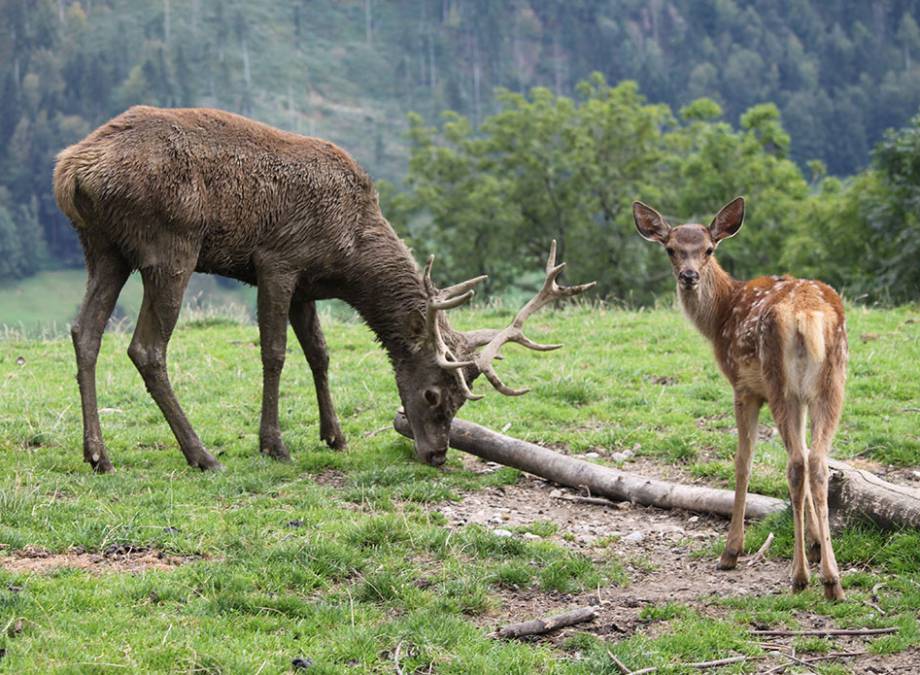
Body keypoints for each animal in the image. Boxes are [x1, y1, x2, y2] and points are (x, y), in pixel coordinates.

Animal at [54, 107, 592, 476]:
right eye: (434, 394)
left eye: (462, 403)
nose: (437, 454)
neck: (349, 256)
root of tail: (69, 172)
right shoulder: (277, 261)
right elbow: (274, 352)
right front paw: (274, 445)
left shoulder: (307, 285)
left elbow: (320, 352)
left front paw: (334, 435)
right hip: (170, 245)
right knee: (146, 347)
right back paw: (201, 454)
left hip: (104, 249)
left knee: (84, 332)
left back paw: (97, 453)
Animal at [636, 198, 844, 600]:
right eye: (671, 248)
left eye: (708, 249)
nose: (689, 275)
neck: (720, 317)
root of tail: (808, 316)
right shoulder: (802, 396)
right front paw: (815, 543)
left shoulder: (743, 387)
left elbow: (742, 462)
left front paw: (731, 551)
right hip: (831, 382)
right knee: (817, 462)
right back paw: (832, 581)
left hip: (779, 383)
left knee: (796, 464)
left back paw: (800, 577)